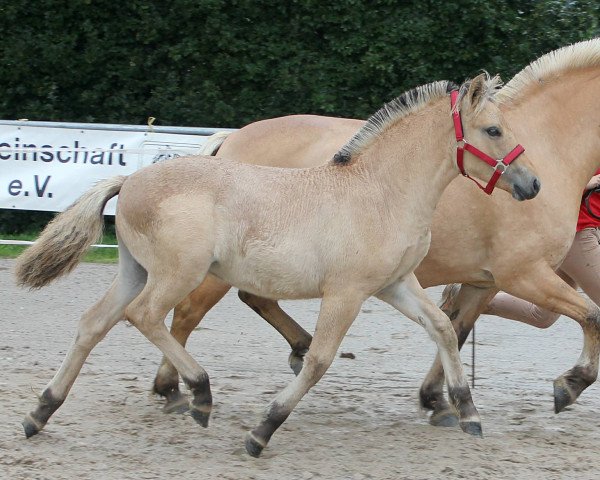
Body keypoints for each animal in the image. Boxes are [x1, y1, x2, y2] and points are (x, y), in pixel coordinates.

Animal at [15, 74, 540, 454]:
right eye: (493, 130)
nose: (532, 184)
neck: (380, 191)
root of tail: (129, 179)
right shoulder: (347, 292)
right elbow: (319, 359)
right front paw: (262, 430)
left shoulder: (395, 284)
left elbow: (443, 328)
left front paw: (467, 412)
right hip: (177, 274)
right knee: (144, 316)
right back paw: (199, 392)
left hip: (135, 271)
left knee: (93, 323)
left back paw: (40, 412)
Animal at [151, 40, 600, 424]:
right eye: (493, 131)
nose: (532, 185)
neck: (552, 146)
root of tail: (229, 142)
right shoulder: (525, 274)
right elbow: (592, 315)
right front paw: (570, 385)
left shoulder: (485, 282)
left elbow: (453, 329)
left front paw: (439, 400)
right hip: (214, 270)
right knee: (185, 313)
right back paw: (175, 389)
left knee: (249, 300)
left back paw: (291, 349)